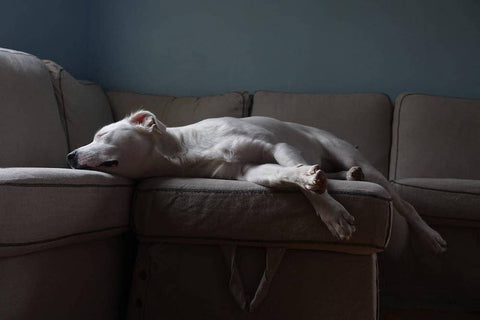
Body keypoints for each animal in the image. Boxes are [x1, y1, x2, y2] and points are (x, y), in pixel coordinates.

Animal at [66, 110, 446, 252]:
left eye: (103, 135)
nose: (69, 156)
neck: (186, 149)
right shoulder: (251, 171)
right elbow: (291, 176)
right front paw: (316, 188)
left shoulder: (277, 147)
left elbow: (307, 183)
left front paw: (333, 213)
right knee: (337, 171)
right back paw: (347, 177)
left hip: (353, 157)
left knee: (404, 204)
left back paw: (430, 236)